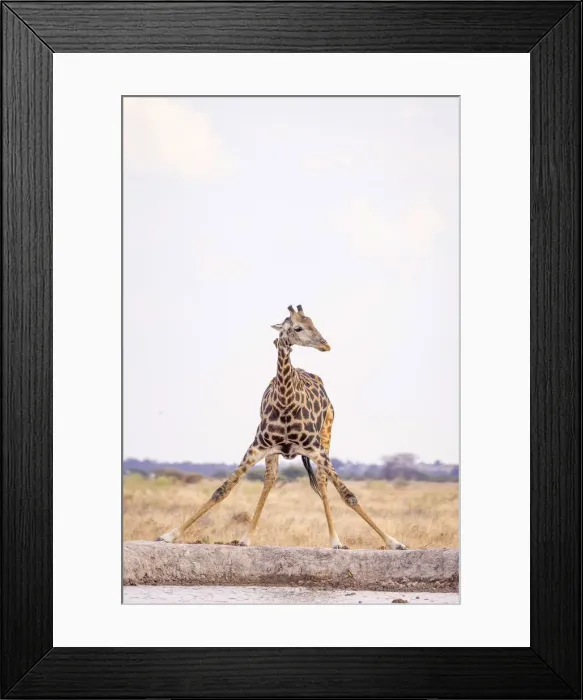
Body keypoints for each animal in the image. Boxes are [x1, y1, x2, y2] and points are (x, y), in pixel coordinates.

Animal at [156, 305, 407, 550]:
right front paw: (169, 535)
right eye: (297, 328)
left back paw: (335, 541)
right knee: (270, 480)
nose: (325, 344)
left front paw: (394, 542)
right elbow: (222, 490)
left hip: (326, 435)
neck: (286, 401)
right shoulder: (257, 447)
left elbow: (349, 495)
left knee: (322, 482)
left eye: (313, 323)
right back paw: (246, 538)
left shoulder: (316, 449)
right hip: (274, 452)